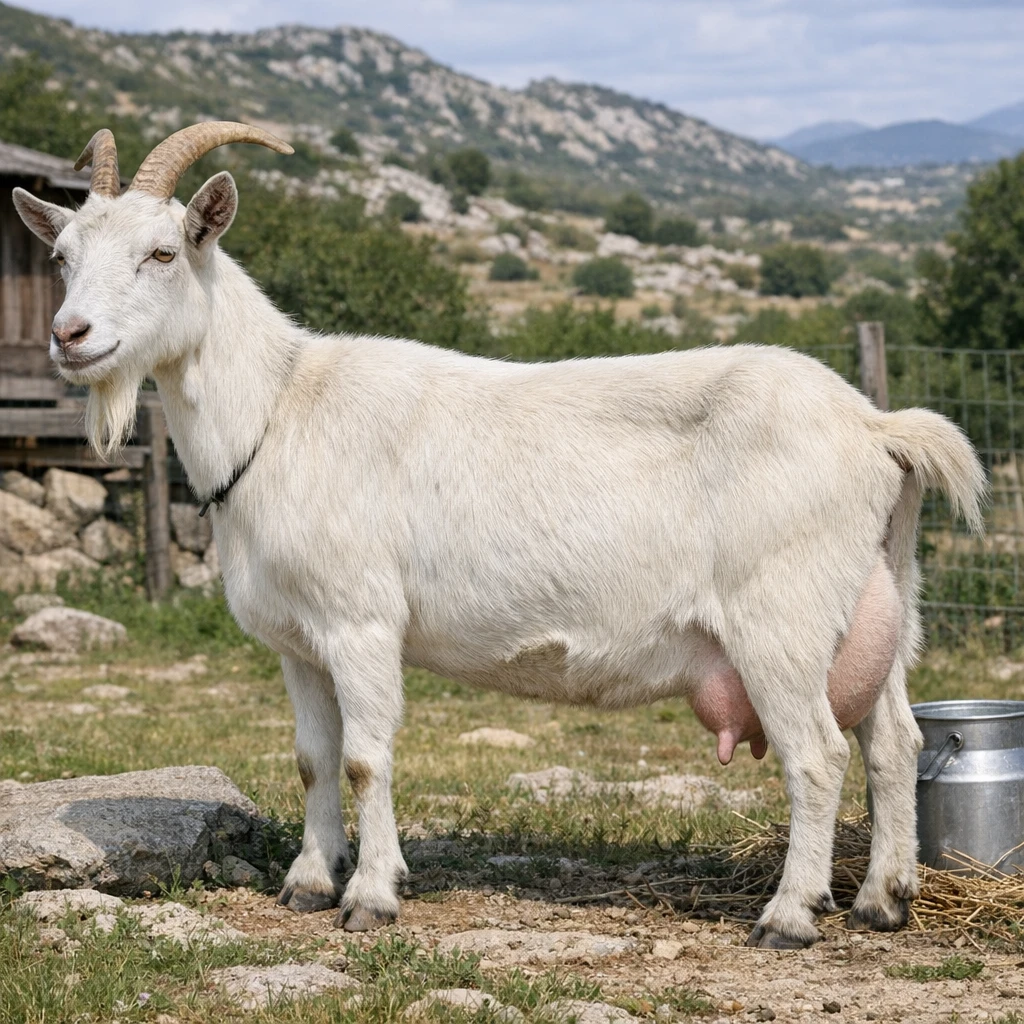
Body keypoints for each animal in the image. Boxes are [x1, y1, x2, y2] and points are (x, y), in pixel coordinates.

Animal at [14, 123, 985, 948]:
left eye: (163, 252)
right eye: (62, 256)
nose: (69, 336)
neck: (281, 411)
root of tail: (873, 425)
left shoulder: (361, 623)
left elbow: (364, 760)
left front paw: (371, 897)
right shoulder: (298, 640)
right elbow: (312, 760)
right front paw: (307, 883)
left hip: (778, 615)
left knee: (818, 754)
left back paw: (790, 915)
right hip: (880, 602)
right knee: (893, 742)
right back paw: (883, 901)